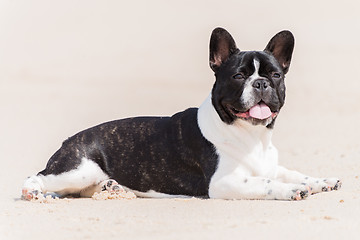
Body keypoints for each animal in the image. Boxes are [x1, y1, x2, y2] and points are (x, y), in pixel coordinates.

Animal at [21, 28, 340, 201]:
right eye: (238, 76)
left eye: (275, 75)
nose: (260, 83)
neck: (252, 135)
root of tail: (69, 141)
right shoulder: (224, 182)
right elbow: (268, 183)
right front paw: (294, 189)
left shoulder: (269, 166)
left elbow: (289, 172)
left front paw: (319, 180)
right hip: (79, 169)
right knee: (36, 177)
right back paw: (34, 193)